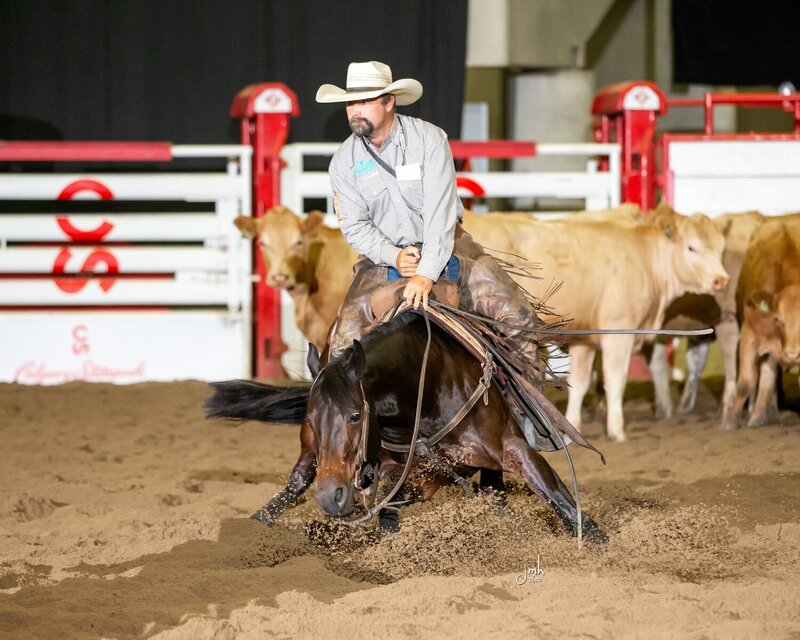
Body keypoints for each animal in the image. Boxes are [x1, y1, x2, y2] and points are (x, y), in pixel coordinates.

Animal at [206, 308, 608, 544]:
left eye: (355, 415)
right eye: (312, 418)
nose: (331, 496)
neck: (427, 389)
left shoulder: (512, 447)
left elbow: (560, 499)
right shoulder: (415, 477)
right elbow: (385, 508)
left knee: (496, 494)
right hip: (310, 456)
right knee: (297, 482)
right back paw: (255, 524)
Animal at [510, 204, 728, 440]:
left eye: (721, 249)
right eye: (691, 247)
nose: (721, 280)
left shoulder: (583, 339)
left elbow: (579, 383)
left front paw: (573, 428)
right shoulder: (618, 333)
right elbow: (615, 380)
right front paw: (616, 431)